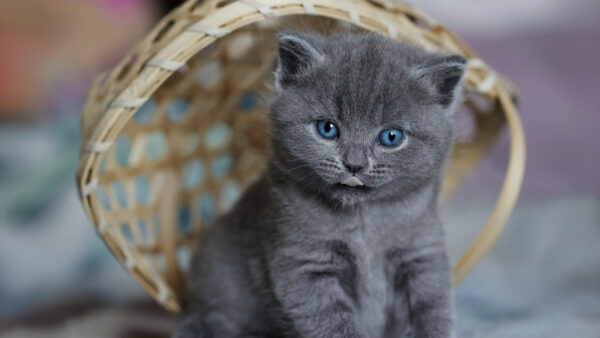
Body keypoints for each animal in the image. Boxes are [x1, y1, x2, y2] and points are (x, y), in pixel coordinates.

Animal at [173, 30, 464, 336]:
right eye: (327, 128)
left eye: (391, 137)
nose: (354, 164)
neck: (364, 224)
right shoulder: (304, 264)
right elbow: (332, 324)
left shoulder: (421, 256)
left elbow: (433, 312)